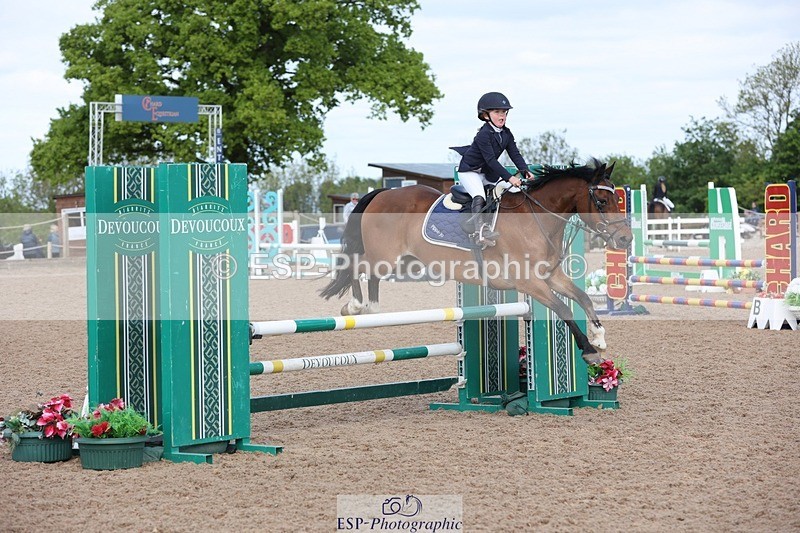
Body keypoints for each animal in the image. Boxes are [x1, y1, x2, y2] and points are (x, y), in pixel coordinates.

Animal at [320, 159, 633, 364]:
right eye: (602, 201)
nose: (626, 239)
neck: (536, 219)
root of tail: (383, 193)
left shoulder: (550, 277)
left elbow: (583, 297)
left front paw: (599, 337)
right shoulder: (530, 283)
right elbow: (563, 309)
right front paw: (589, 351)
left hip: (405, 262)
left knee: (368, 273)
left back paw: (371, 307)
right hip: (386, 257)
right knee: (357, 265)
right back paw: (355, 305)